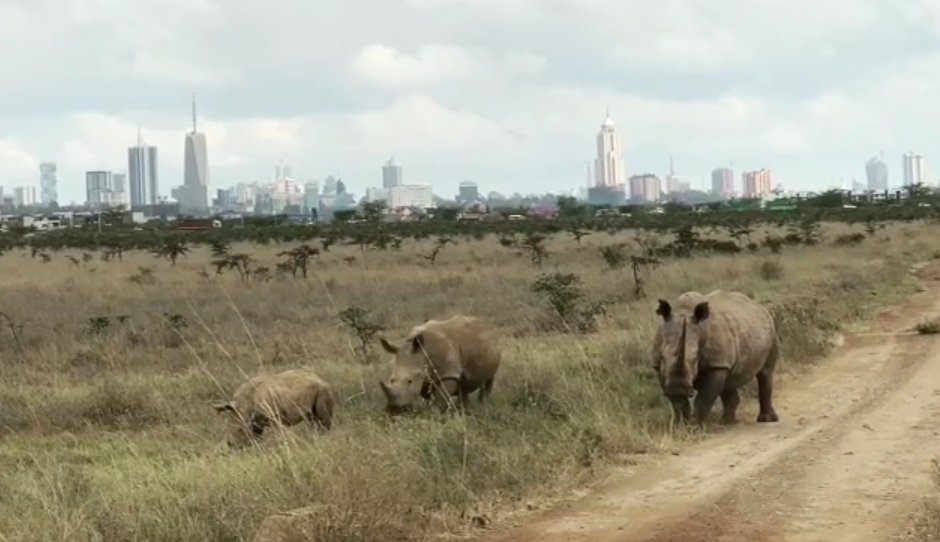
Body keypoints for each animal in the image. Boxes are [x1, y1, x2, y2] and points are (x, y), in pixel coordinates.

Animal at [651, 290, 780, 426]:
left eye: (695, 359)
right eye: (663, 357)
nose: (678, 389)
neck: (684, 312)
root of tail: (759, 305)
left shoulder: (716, 365)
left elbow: (703, 400)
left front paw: (698, 427)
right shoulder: (658, 366)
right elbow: (678, 403)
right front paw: (680, 426)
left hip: (771, 331)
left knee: (765, 373)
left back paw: (766, 420)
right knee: (729, 381)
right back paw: (727, 422)